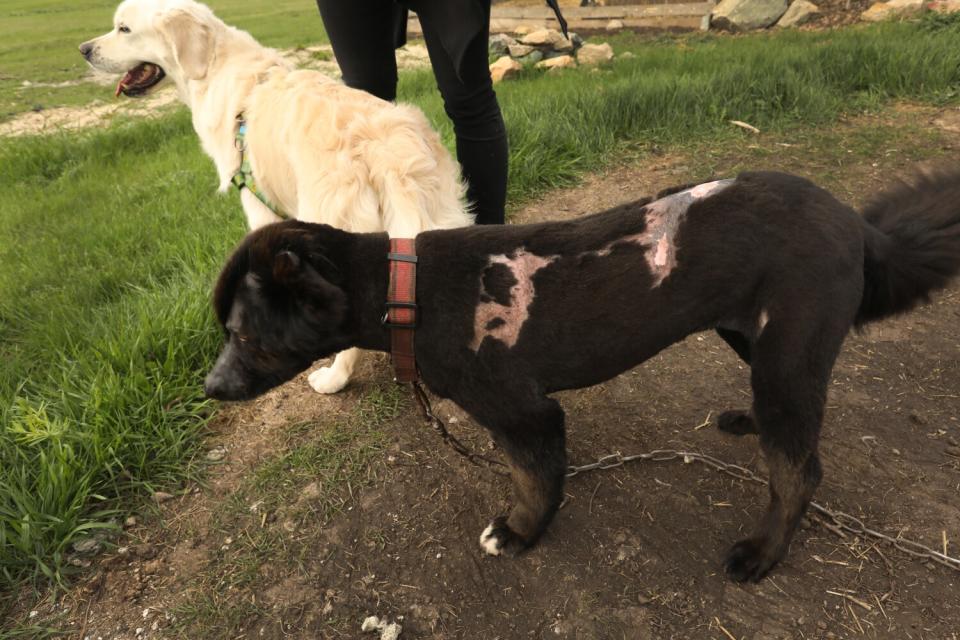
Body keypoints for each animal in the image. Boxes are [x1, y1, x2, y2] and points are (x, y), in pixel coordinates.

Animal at [80, 0, 474, 396]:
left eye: (124, 29)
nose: (84, 49)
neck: (213, 65)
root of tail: (384, 149)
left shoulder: (259, 209)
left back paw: (334, 378)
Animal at [202, 169, 960, 580]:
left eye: (243, 336)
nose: (209, 388)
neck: (405, 290)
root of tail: (857, 224)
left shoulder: (527, 413)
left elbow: (535, 481)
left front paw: (519, 532)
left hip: (788, 351)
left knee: (800, 471)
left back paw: (763, 553)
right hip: (755, 336)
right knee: (790, 434)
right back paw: (746, 422)